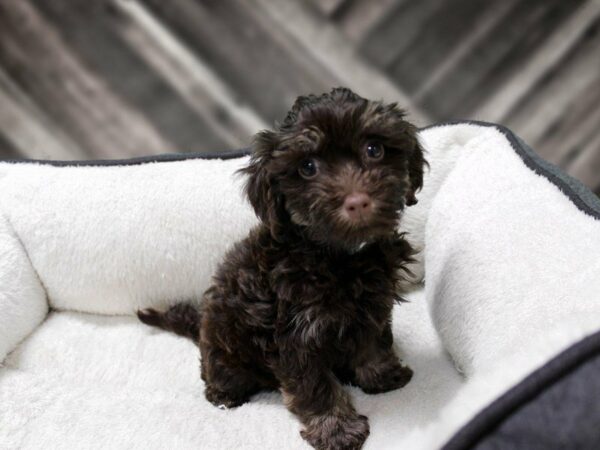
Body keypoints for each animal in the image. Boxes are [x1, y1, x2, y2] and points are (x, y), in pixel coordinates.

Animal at [138, 86, 426, 448]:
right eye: (307, 167)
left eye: (374, 149)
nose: (357, 201)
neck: (338, 256)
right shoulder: (294, 333)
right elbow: (314, 386)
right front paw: (337, 429)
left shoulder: (373, 305)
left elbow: (373, 343)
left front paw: (382, 375)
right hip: (225, 352)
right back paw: (223, 396)